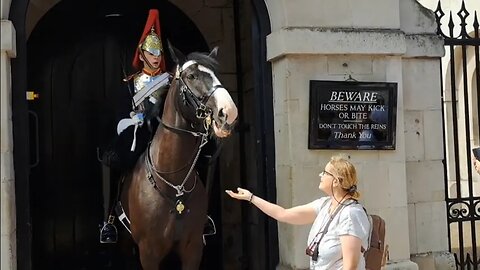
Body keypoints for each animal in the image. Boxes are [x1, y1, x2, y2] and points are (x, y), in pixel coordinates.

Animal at [118, 43, 238, 268]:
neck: (174, 184)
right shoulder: (148, 252)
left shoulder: (193, 249)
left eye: (217, 75)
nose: (228, 112)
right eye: (191, 76)